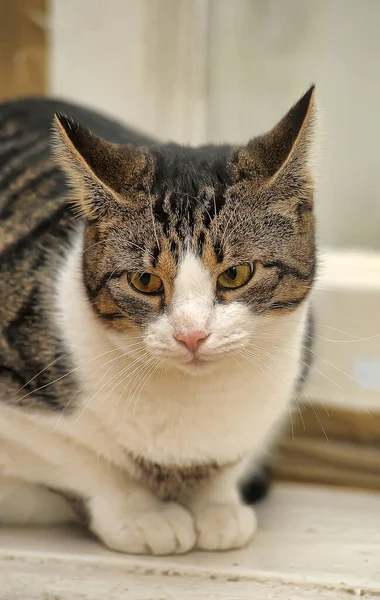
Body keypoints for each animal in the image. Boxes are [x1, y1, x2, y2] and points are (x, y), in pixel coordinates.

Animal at [0, 86, 316, 556]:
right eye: (145, 280)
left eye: (236, 274)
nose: (191, 334)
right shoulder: (21, 418)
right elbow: (81, 459)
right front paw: (143, 515)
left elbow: (232, 460)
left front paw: (217, 506)